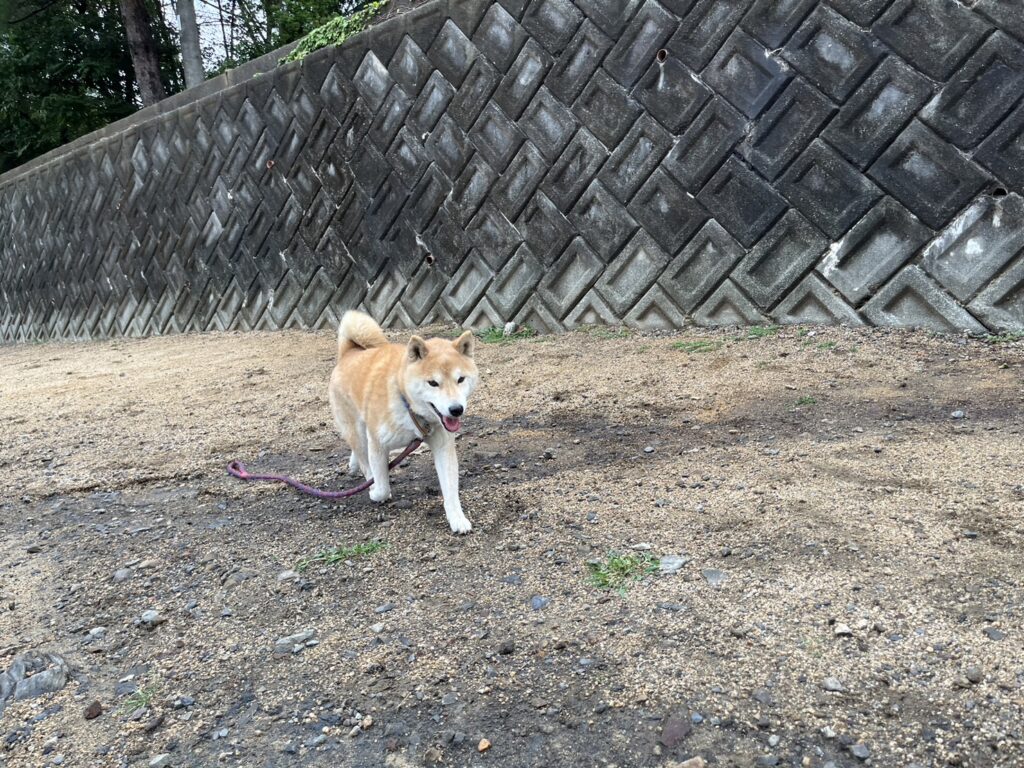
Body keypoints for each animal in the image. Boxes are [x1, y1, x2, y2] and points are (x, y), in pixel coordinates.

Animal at [327, 311, 479, 534]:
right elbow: (381, 485)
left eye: (460, 379)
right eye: (433, 383)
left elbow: (450, 488)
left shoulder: (443, 445)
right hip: (356, 429)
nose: (456, 409)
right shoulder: (377, 444)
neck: (407, 404)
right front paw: (375, 492)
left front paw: (457, 518)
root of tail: (348, 353)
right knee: (361, 454)